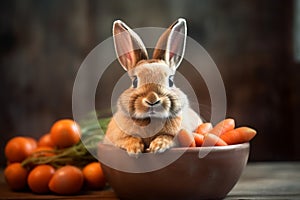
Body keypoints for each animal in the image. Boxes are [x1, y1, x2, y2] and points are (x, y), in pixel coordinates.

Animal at [104, 18, 203, 156]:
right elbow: (127, 138)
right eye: (135, 81)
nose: (152, 100)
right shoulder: (117, 136)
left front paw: (158, 146)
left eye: (170, 81)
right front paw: (134, 149)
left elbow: (169, 137)